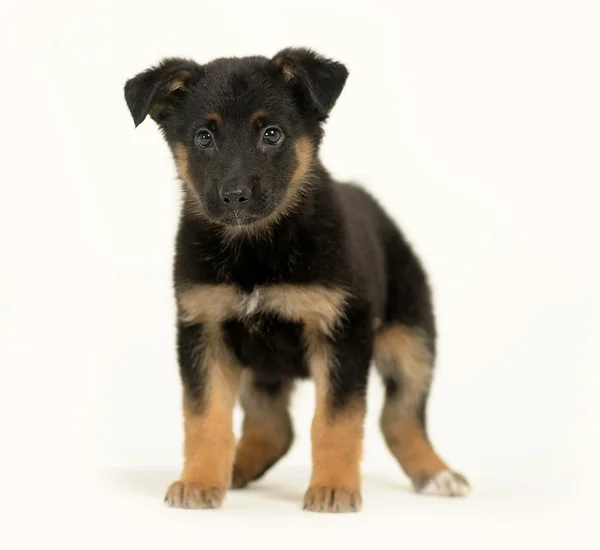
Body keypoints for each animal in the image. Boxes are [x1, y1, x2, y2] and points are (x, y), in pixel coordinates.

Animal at [124, 47, 472, 512]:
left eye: (272, 134)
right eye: (203, 137)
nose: (235, 196)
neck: (257, 250)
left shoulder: (341, 331)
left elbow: (336, 421)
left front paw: (334, 487)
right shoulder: (204, 329)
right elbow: (205, 418)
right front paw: (199, 480)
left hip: (411, 339)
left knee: (400, 417)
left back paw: (436, 474)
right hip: (262, 366)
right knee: (275, 428)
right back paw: (234, 468)